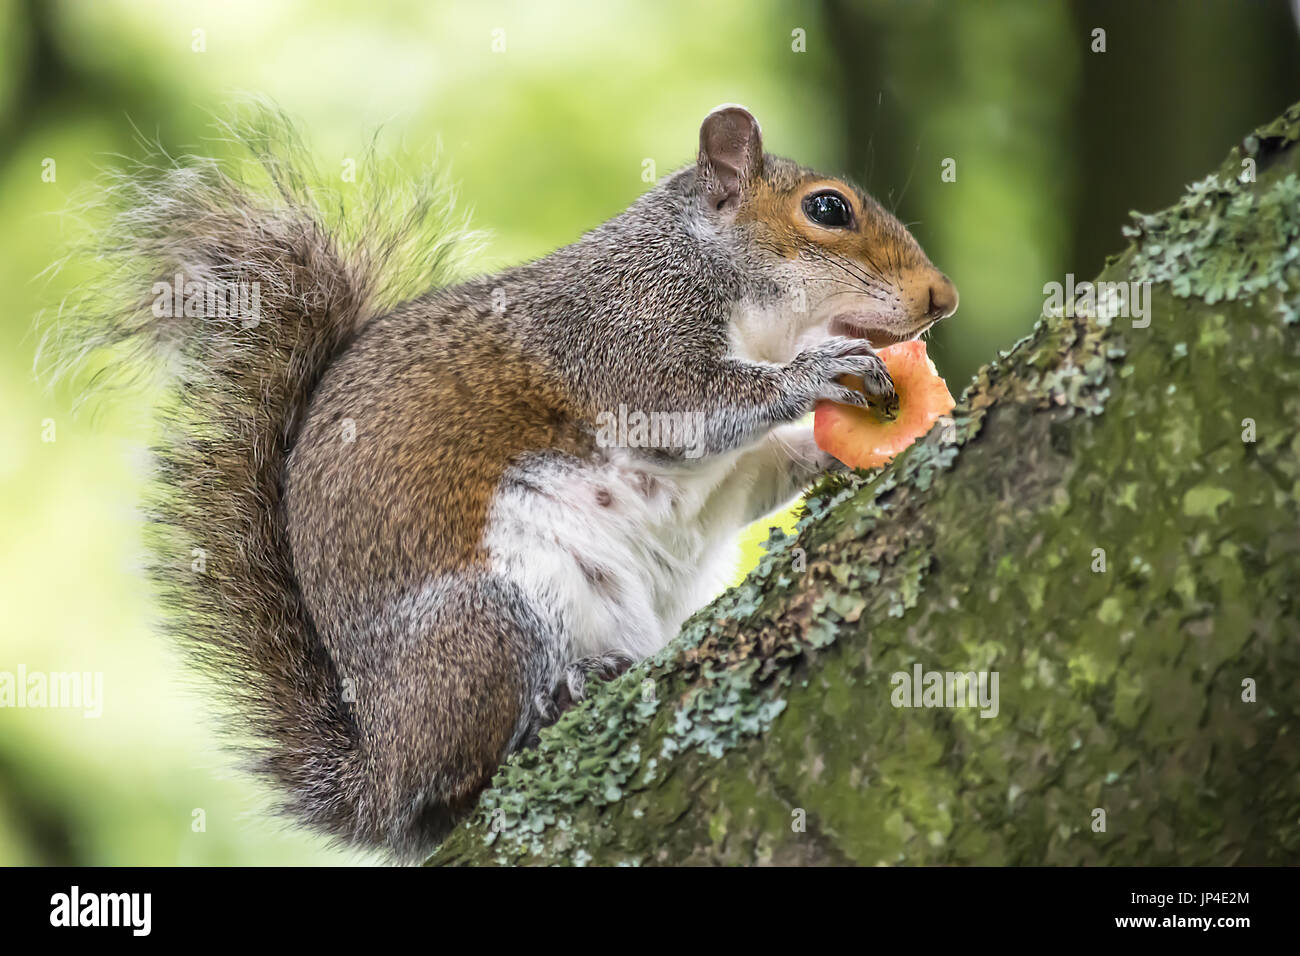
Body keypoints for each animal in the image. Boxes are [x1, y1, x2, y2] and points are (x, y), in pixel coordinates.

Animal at [67, 104, 956, 859]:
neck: (708, 265)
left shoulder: (732, 473)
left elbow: (759, 470)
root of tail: (378, 770)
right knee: (459, 780)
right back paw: (561, 703)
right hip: (486, 625)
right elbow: (686, 410)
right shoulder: (624, 337)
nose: (941, 297)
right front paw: (821, 371)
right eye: (828, 209)